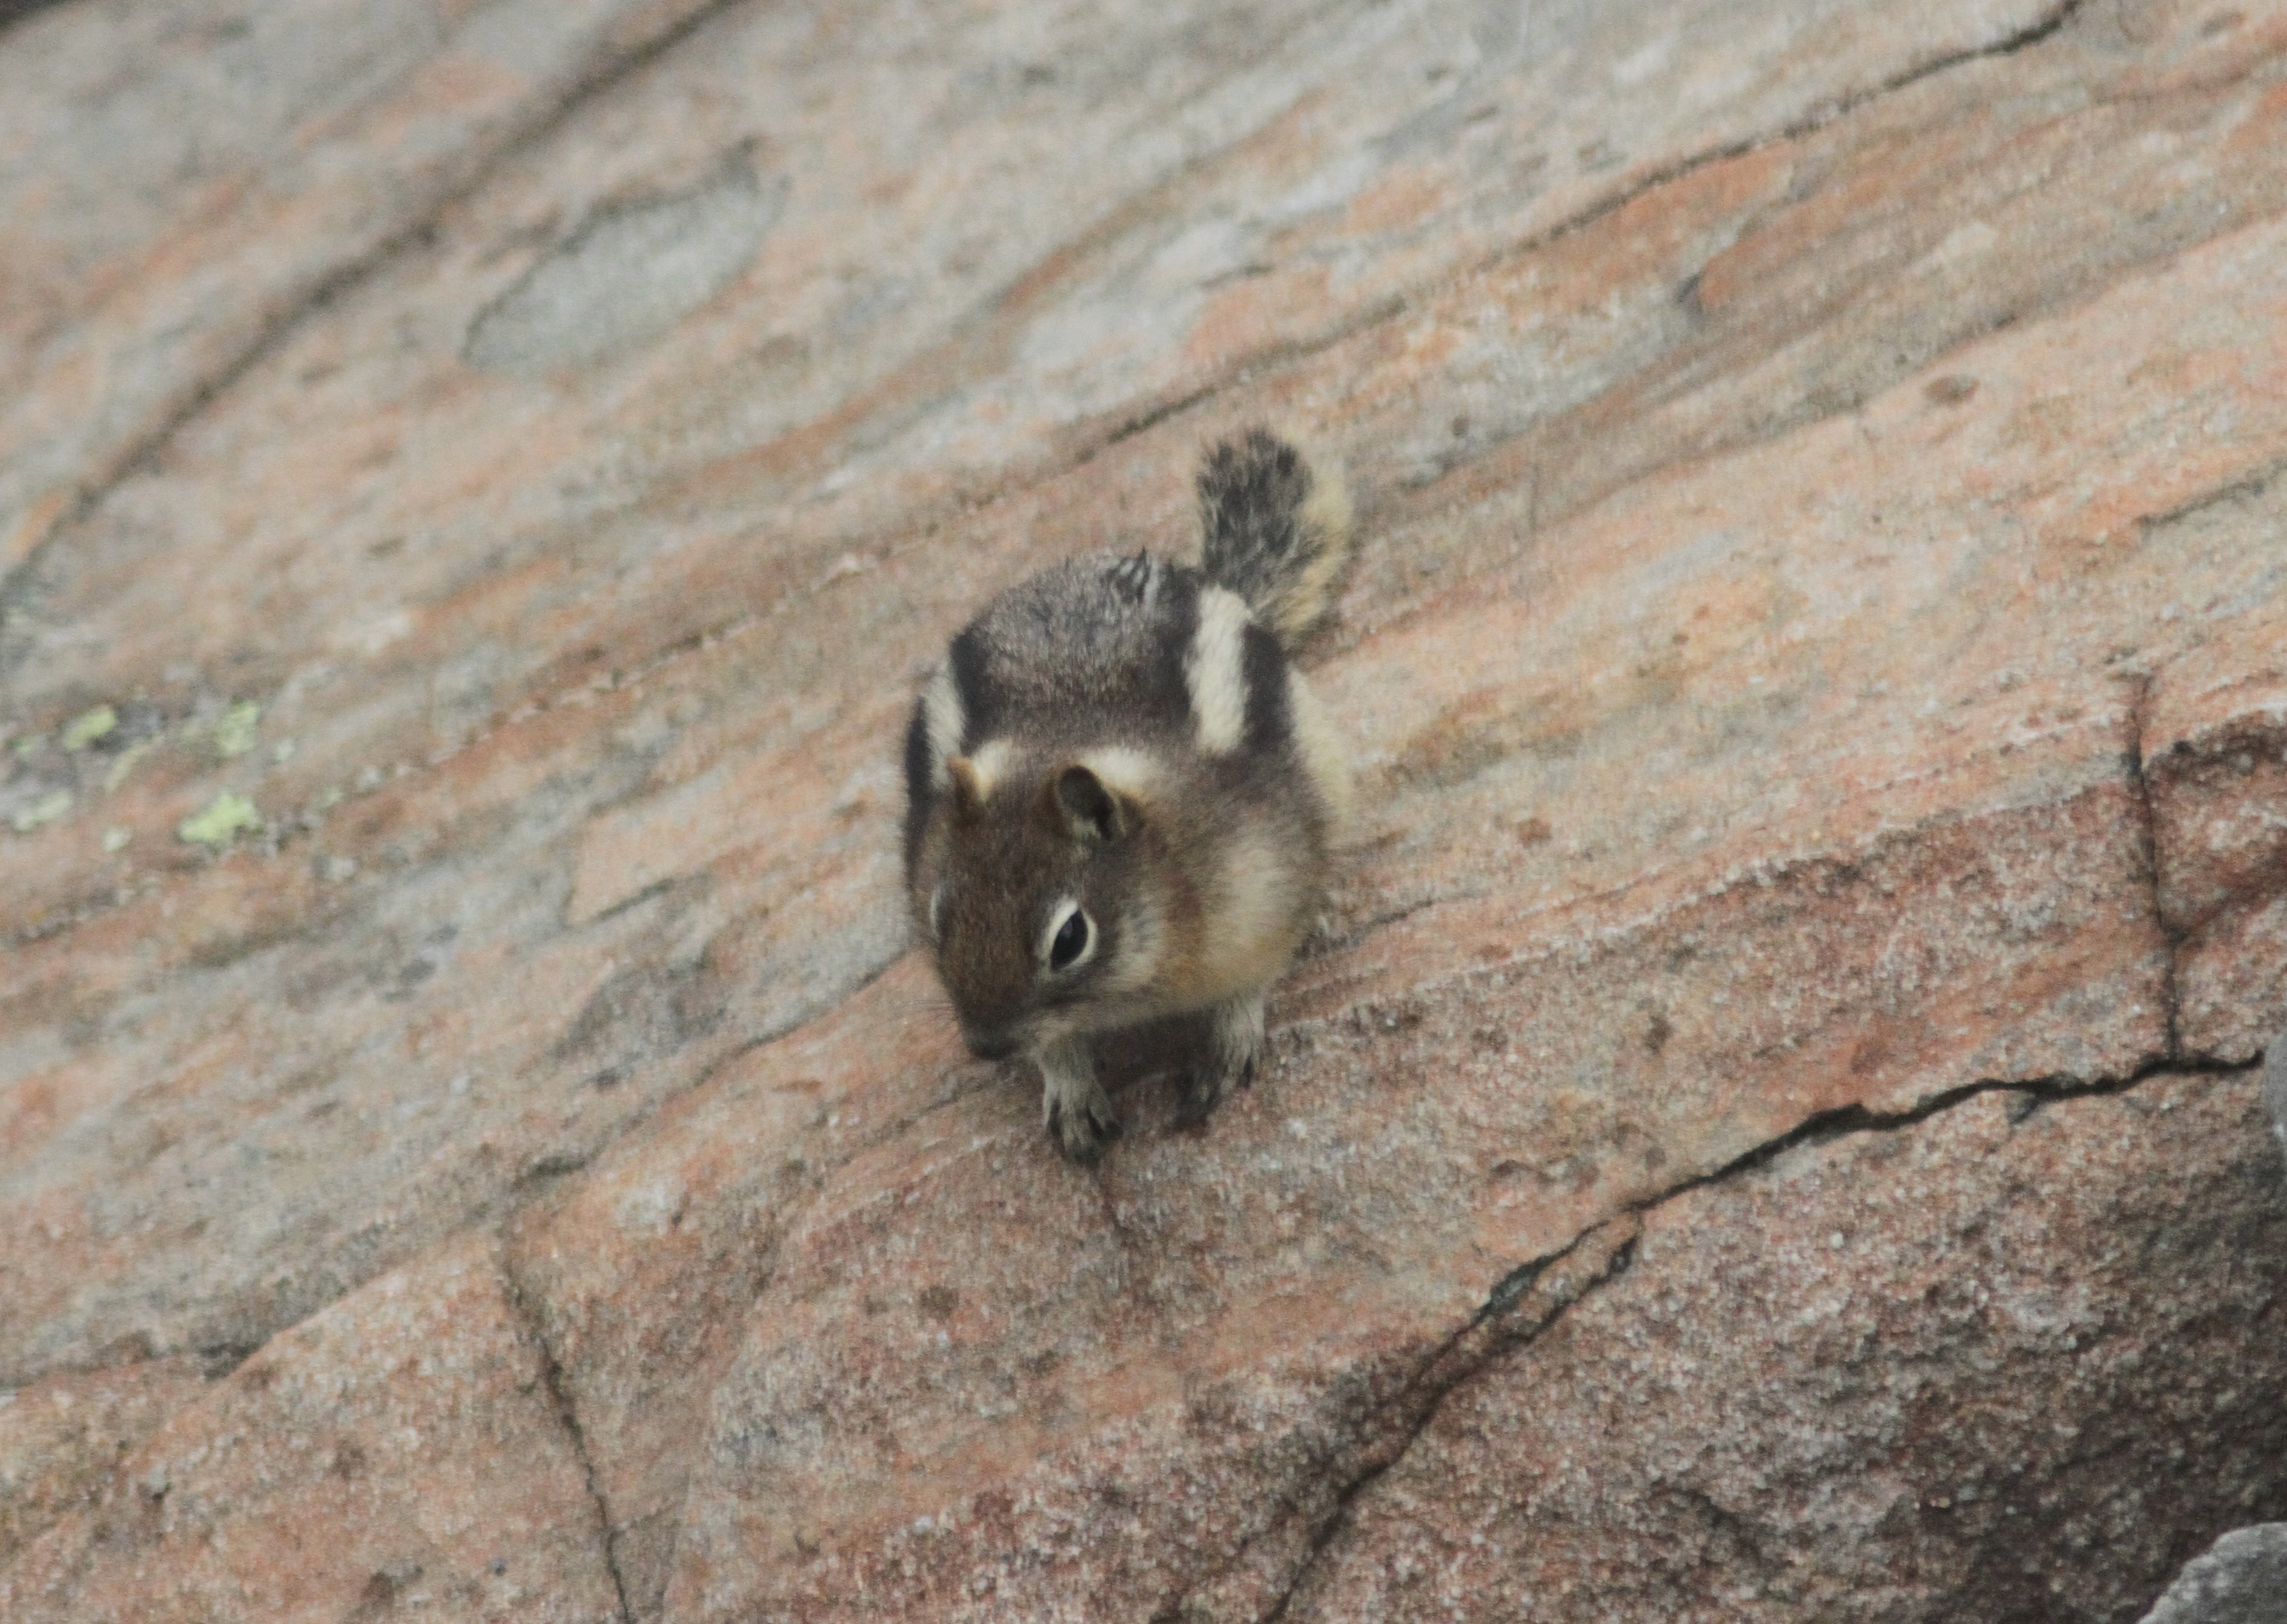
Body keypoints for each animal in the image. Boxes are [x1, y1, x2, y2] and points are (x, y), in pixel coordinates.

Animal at [901, 428, 1355, 1162]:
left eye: (1069, 939)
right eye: (940, 916)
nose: (985, 1045)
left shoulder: (1262, 889)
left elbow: (1252, 980)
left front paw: (1228, 1049)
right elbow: (1057, 1050)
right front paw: (1071, 1092)